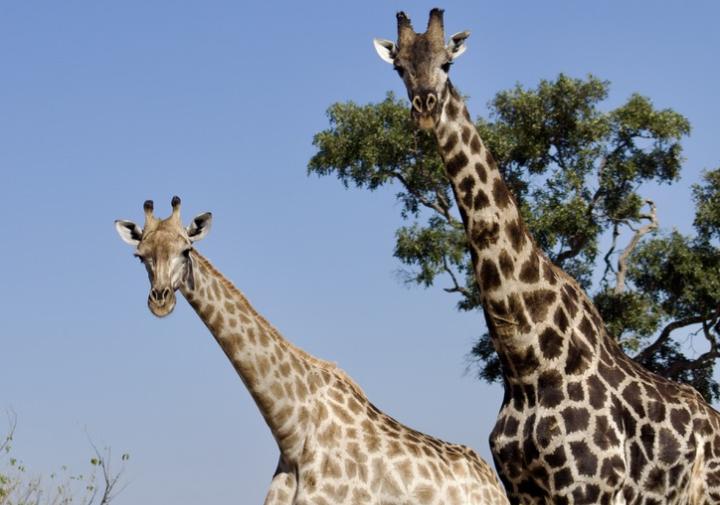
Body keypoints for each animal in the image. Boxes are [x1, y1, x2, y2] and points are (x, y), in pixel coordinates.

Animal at [374, 9, 720, 505]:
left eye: (447, 63)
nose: (424, 107)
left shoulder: (588, 488)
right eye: (400, 67)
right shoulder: (523, 489)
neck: (528, 363)